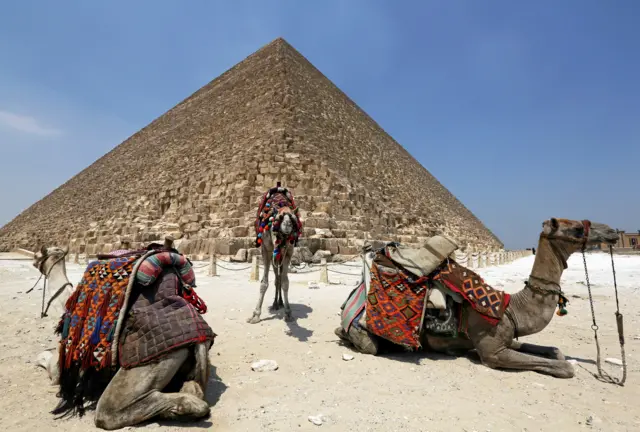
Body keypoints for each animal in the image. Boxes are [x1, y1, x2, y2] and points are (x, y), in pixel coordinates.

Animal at [31, 241, 215, 430]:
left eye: (39, 255)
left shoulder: (64, 362)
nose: (33, 260)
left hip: (149, 363)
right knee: (193, 389)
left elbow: (45, 359)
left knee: (109, 412)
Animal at [248, 184, 302, 322]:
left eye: (294, 219)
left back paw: (280, 303)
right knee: (276, 277)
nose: (287, 224)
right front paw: (256, 314)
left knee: (279, 278)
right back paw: (275, 304)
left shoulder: (288, 252)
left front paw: (288, 312)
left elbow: (285, 282)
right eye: (279, 218)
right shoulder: (266, 250)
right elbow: (264, 283)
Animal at [336, 219, 620, 378]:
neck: (511, 308)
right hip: (366, 333)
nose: (612, 231)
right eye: (576, 228)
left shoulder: (506, 340)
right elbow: (565, 368)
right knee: (366, 343)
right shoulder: (492, 353)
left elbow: (556, 352)